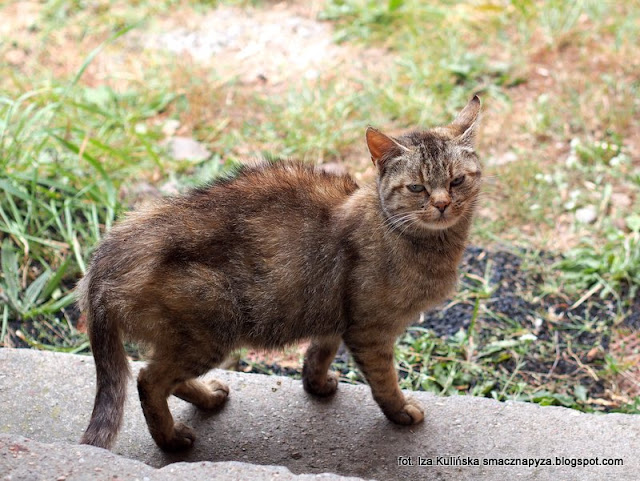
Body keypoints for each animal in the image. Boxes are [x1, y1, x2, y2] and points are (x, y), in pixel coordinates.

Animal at [77, 94, 482, 450]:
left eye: (457, 180)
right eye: (417, 187)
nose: (442, 204)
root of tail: (107, 255)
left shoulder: (333, 311)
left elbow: (320, 351)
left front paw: (316, 384)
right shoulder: (371, 330)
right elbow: (385, 381)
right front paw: (400, 411)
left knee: (158, 375)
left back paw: (207, 398)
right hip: (211, 329)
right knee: (149, 380)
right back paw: (172, 439)